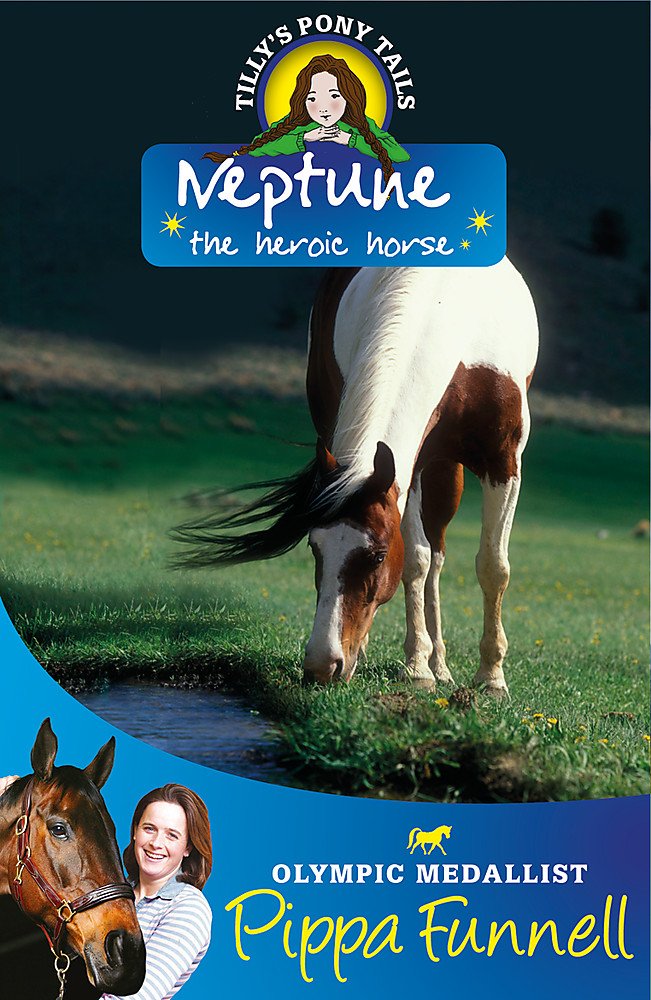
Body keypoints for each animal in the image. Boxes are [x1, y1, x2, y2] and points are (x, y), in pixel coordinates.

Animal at [175, 259, 538, 696]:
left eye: (378, 555)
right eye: (313, 547)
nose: (321, 666)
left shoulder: (503, 461)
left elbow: (492, 566)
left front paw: (490, 677)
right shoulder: (406, 468)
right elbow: (414, 561)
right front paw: (416, 668)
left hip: (446, 472)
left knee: (439, 553)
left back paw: (441, 664)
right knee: (427, 556)